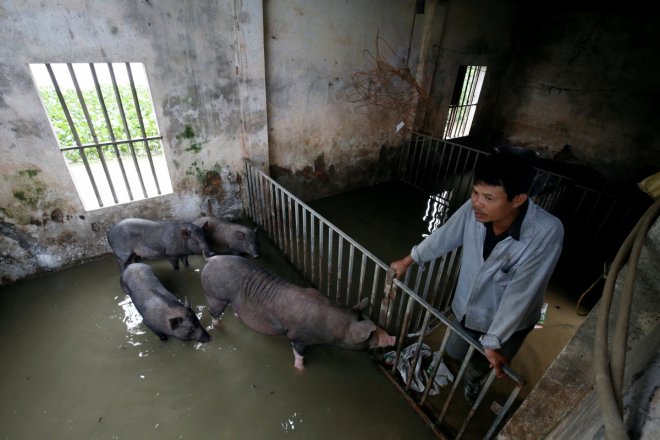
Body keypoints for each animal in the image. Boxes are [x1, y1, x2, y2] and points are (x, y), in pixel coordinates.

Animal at [201, 254, 394, 368]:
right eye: (370, 335)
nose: (393, 337)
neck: (334, 326)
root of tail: (211, 260)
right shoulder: (299, 337)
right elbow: (299, 354)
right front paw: (300, 369)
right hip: (215, 295)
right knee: (214, 314)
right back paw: (218, 327)